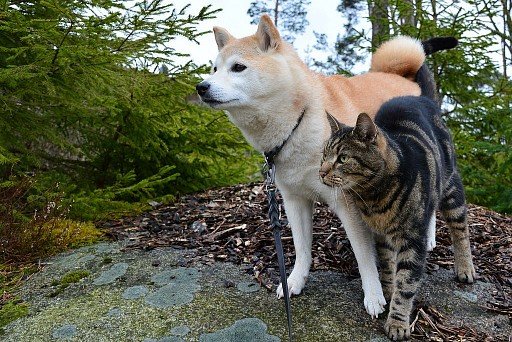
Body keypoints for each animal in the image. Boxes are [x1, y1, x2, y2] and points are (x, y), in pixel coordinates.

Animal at [196, 14, 444, 318]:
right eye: (214, 68)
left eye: (238, 67)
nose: (201, 86)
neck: (298, 123)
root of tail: (405, 79)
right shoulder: (294, 200)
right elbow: (302, 249)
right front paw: (294, 281)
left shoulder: (348, 204)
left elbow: (364, 257)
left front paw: (374, 295)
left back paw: (428, 236)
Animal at [320, 91, 476, 340]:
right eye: (324, 155)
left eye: (342, 158)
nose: (321, 171)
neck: (373, 198)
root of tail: (419, 97)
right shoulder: (381, 236)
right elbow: (387, 266)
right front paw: (387, 290)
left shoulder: (412, 240)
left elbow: (406, 286)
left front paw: (397, 322)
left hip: (451, 187)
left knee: (460, 229)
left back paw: (465, 267)